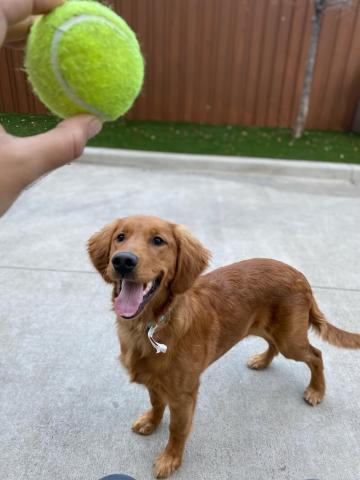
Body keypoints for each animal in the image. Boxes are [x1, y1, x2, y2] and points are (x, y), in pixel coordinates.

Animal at [88, 216, 360, 478]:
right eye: (120, 237)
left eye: (158, 241)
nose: (123, 261)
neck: (149, 326)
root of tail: (300, 275)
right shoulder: (154, 381)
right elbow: (156, 404)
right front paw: (151, 422)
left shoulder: (183, 395)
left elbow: (177, 430)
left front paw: (170, 459)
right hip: (265, 328)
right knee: (273, 344)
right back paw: (262, 361)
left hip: (290, 340)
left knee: (316, 355)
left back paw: (316, 390)